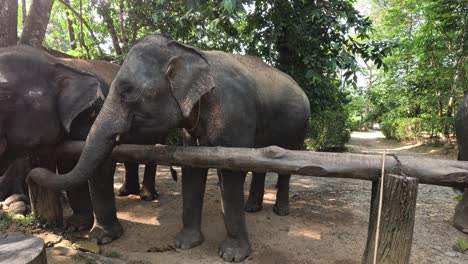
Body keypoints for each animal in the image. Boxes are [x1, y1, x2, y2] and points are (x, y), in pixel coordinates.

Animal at [0, 44, 163, 228]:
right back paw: (126, 191)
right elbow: (67, 164)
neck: (53, 59)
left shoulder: (94, 111)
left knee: (153, 148)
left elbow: (101, 163)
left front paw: (100, 232)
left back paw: (147, 196)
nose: (29, 178)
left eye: (5, 96)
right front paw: (76, 226)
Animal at [29, 35, 310, 262]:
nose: (32, 173)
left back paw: (280, 211)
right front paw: (185, 244)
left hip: (300, 128)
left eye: (128, 90)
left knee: (285, 163)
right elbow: (193, 167)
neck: (191, 52)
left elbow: (231, 174)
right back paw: (252, 208)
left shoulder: (235, 114)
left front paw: (231, 255)